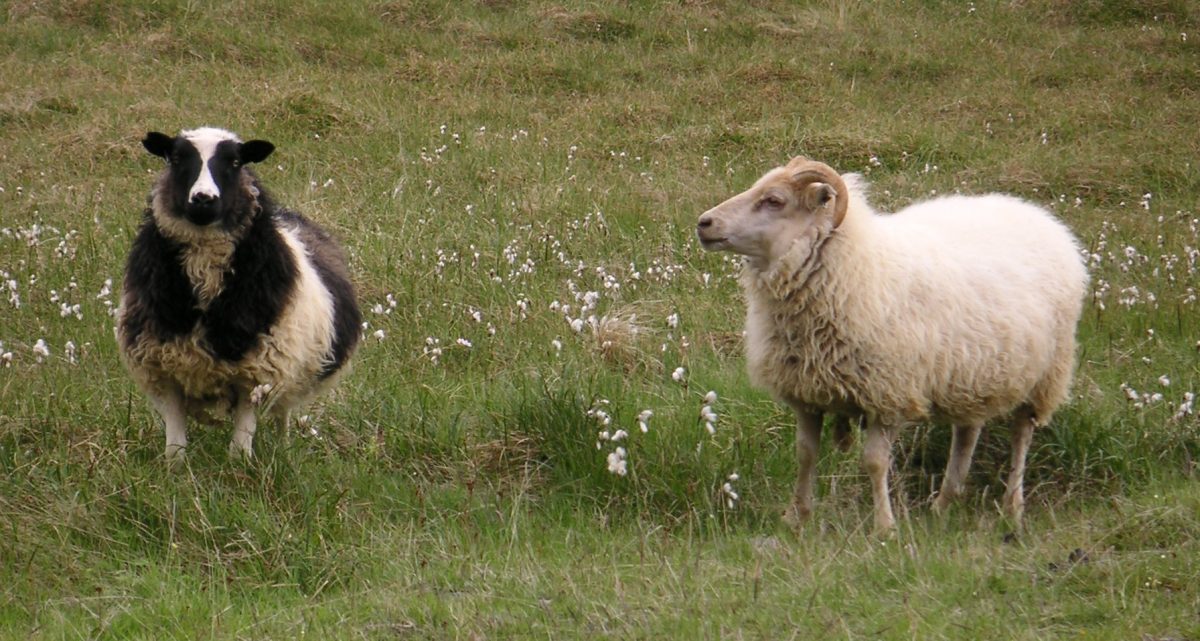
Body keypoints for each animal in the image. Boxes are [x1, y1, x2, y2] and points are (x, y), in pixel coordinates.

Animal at [117, 127, 361, 461]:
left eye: (234, 162)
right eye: (176, 158)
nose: (203, 199)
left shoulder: (258, 372)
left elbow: (241, 443)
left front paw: (239, 466)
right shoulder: (164, 369)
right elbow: (175, 444)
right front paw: (174, 468)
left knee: (282, 413)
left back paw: (284, 449)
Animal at [696, 157, 1088, 533]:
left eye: (774, 200)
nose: (704, 222)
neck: (855, 266)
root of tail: (1038, 215)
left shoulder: (888, 395)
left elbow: (874, 462)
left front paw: (884, 527)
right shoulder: (807, 394)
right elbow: (805, 454)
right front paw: (797, 517)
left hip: (1046, 373)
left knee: (1021, 434)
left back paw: (1012, 506)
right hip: (973, 373)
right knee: (967, 432)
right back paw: (943, 503)